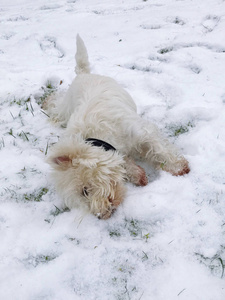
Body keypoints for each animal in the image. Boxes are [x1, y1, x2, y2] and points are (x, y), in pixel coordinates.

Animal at [44, 35, 190, 219]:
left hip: (65, 107)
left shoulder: (141, 132)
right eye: (83, 195)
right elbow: (124, 163)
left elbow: (160, 149)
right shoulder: (117, 151)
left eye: (85, 190)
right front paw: (138, 175)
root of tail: (83, 74)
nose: (102, 215)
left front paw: (179, 168)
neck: (100, 135)